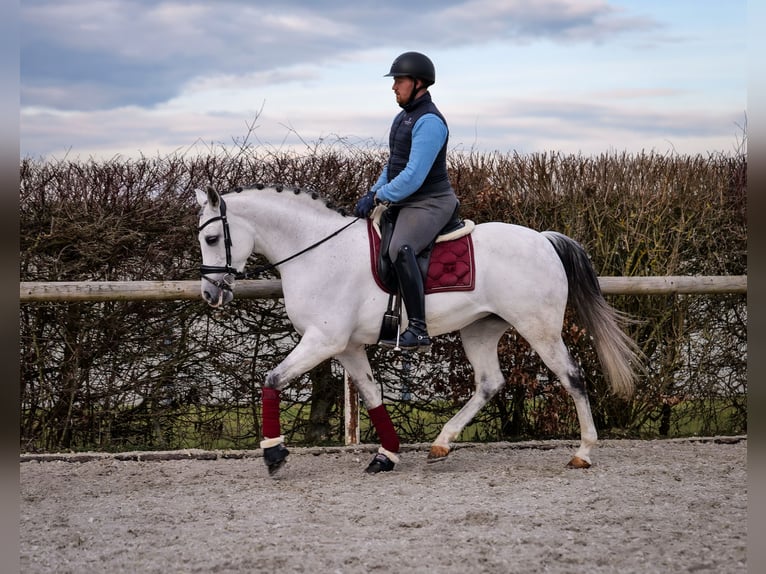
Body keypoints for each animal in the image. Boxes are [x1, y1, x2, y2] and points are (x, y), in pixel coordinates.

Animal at [196, 184, 640, 476]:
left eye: (213, 237)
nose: (210, 294)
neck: (318, 252)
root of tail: (544, 240)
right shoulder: (346, 347)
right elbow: (372, 395)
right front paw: (386, 455)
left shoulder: (323, 341)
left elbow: (272, 379)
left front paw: (273, 453)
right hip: (480, 330)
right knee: (489, 383)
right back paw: (442, 443)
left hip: (539, 327)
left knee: (572, 376)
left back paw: (584, 451)